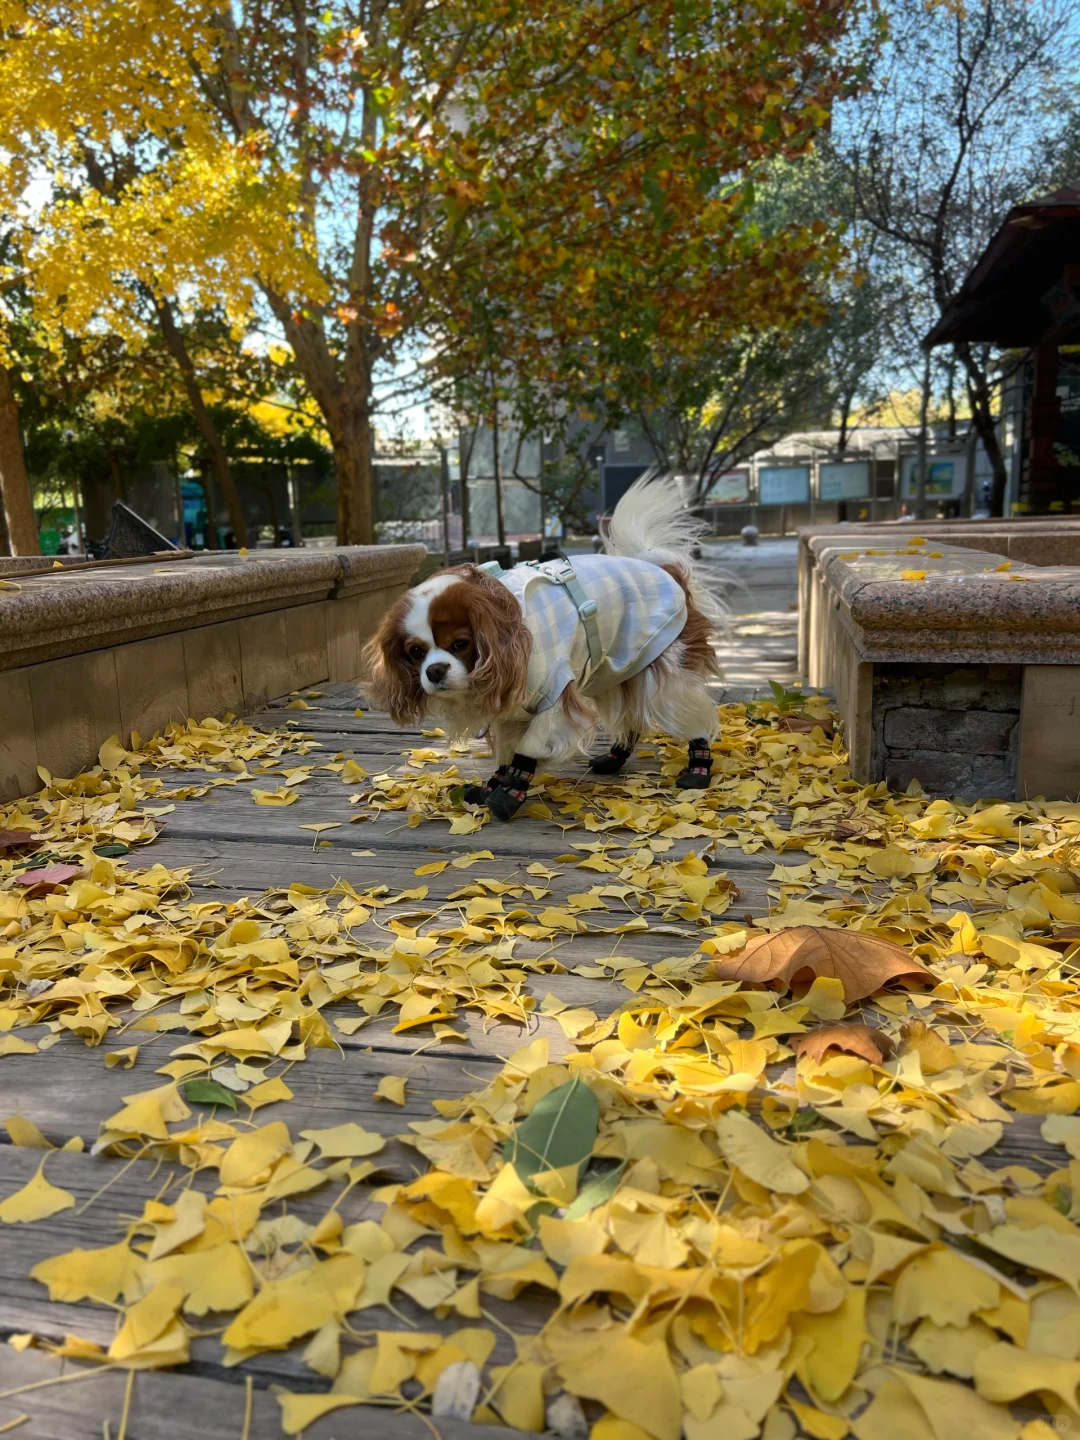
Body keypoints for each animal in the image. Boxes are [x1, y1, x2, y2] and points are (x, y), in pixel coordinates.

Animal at [364, 478, 728, 823]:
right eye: (416, 652)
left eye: (459, 644)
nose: (434, 671)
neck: (509, 628)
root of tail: (668, 572)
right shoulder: (510, 713)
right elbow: (506, 753)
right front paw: (492, 785)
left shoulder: (554, 697)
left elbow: (528, 750)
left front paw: (507, 794)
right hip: (618, 668)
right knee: (630, 716)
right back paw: (615, 758)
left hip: (663, 675)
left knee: (686, 712)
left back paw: (698, 769)